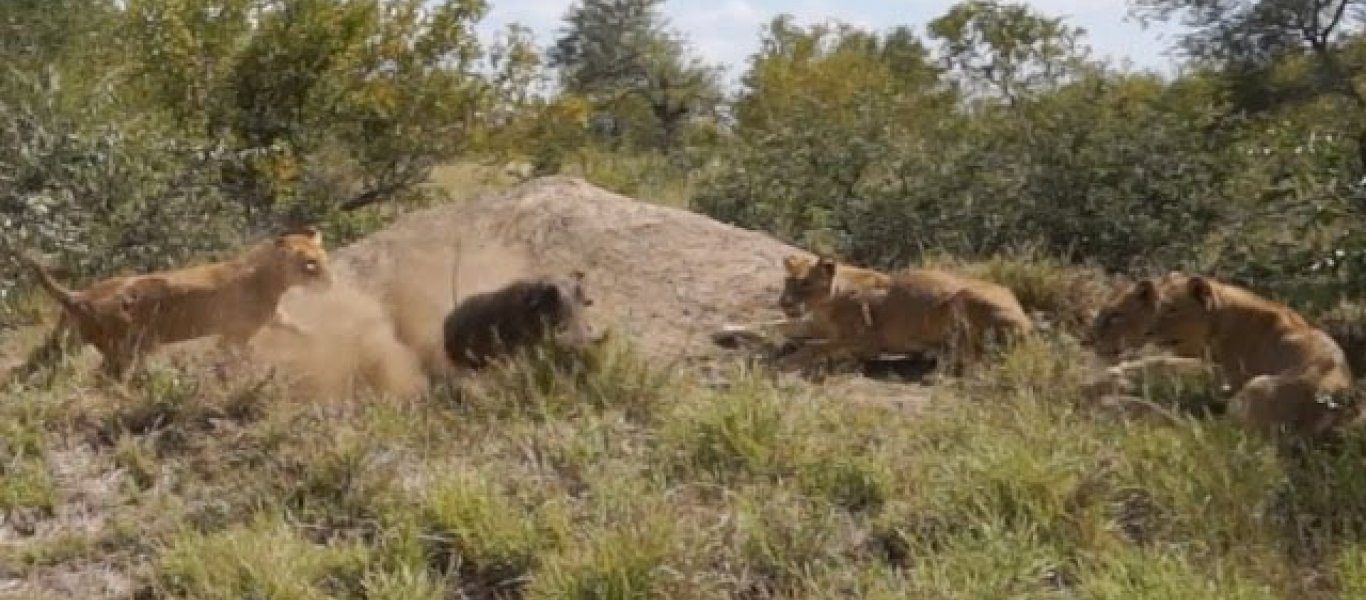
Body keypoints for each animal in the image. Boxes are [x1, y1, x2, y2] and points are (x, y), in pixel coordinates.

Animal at [18, 228, 330, 377]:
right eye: (310, 265)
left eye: (323, 259)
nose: (331, 281)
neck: (272, 277)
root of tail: (81, 295)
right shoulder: (235, 334)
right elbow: (235, 354)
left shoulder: (271, 318)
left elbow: (295, 325)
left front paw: (317, 337)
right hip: (124, 349)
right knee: (107, 377)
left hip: (65, 341)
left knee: (35, 363)